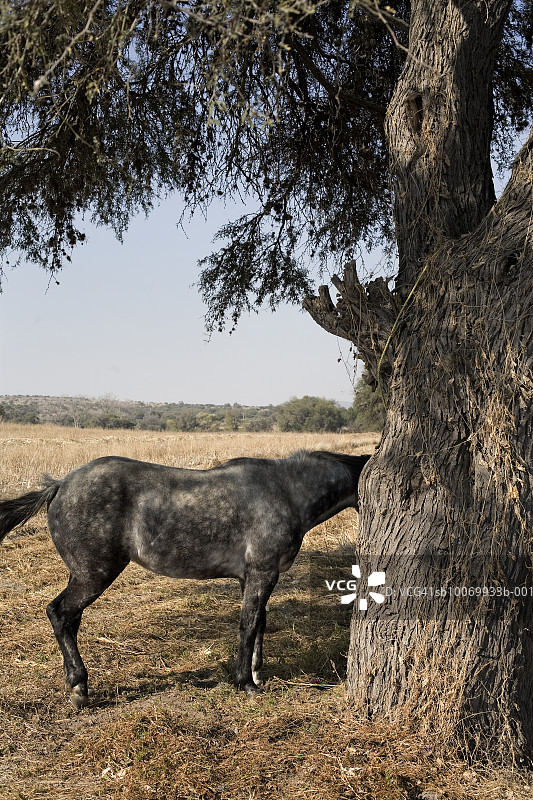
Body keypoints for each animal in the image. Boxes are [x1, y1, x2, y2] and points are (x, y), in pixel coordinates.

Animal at [0, 450, 369, 708]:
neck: (286, 491)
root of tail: (59, 485)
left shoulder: (252, 577)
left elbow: (260, 623)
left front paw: (256, 672)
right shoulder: (263, 573)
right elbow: (248, 624)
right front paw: (245, 683)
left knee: (70, 619)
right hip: (94, 574)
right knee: (60, 613)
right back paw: (79, 687)